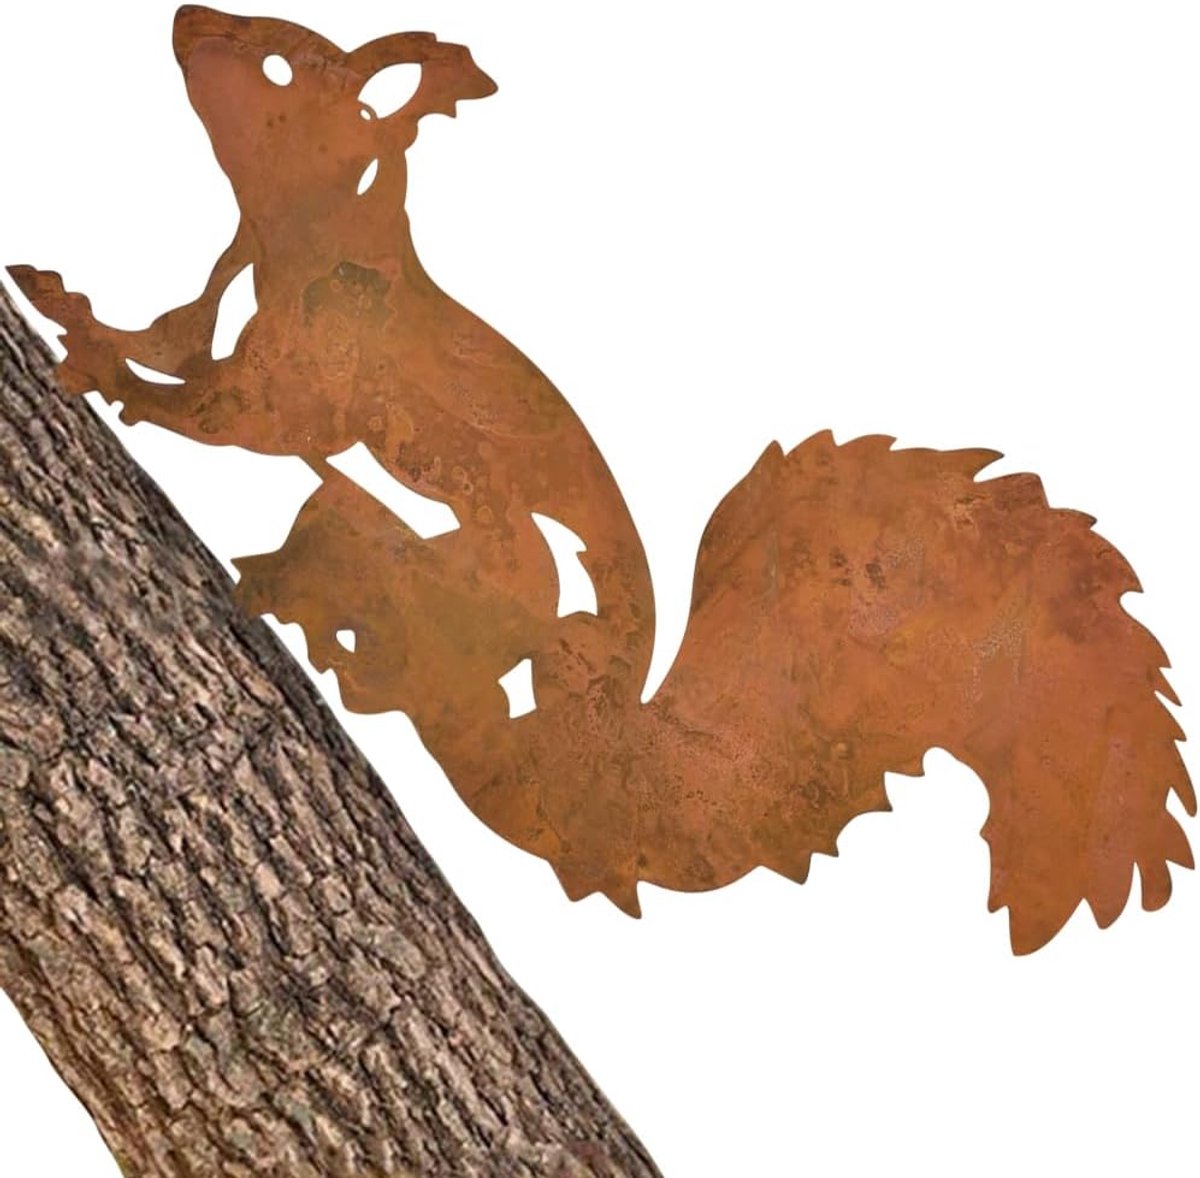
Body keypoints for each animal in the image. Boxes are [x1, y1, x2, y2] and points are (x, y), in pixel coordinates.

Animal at [9, 4, 1194, 954]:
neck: (311, 232)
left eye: (279, 69)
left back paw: (353, 643)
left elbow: (230, 417)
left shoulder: (318, 373)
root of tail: (585, 739)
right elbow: (172, 336)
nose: (184, 22)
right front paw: (69, 308)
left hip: (470, 579)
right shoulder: (222, 302)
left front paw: (100, 371)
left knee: (425, 630)